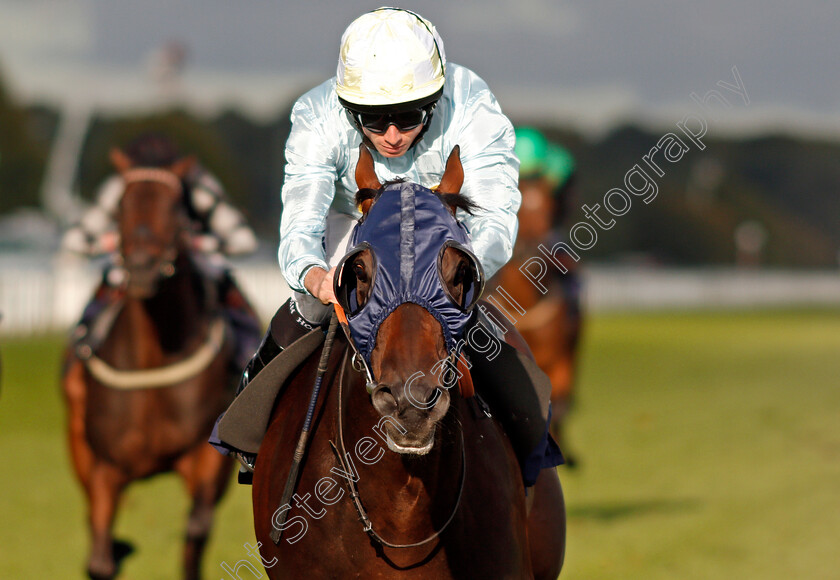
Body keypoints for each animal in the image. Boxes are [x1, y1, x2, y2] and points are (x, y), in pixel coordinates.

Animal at [61, 151, 249, 580]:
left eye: (176, 209)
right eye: (120, 206)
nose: (143, 266)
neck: (152, 361)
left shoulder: (203, 456)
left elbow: (195, 530)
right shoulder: (106, 467)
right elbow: (99, 558)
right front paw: (114, 550)